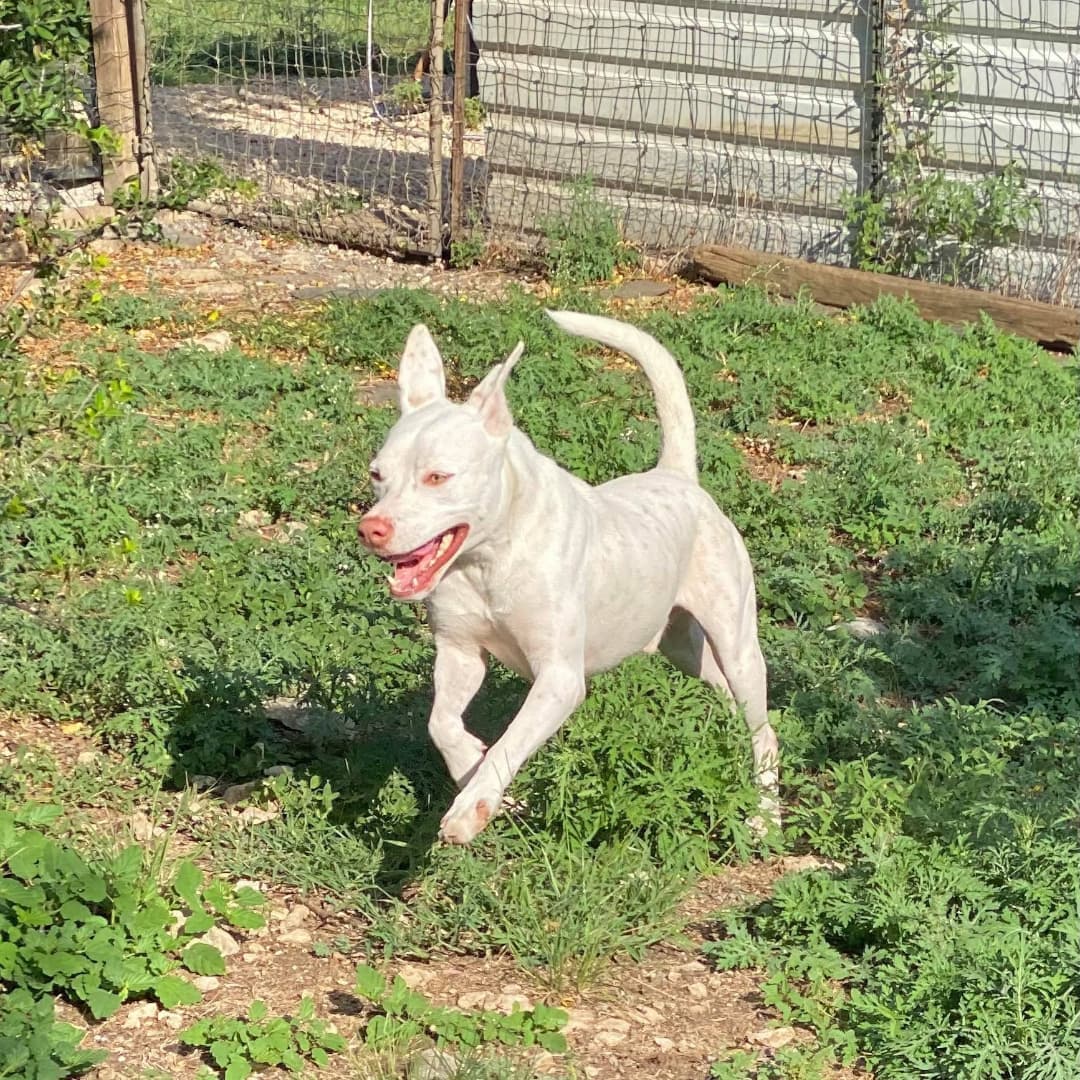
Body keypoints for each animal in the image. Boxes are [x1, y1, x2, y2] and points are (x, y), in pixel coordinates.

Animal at [358, 311, 781, 842]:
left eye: (438, 477)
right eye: (378, 474)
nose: (370, 529)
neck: (489, 562)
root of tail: (677, 476)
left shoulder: (558, 679)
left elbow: (511, 740)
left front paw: (473, 805)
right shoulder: (459, 655)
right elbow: (442, 724)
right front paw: (475, 771)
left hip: (737, 644)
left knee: (764, 729)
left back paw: (765, 814)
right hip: (683, 649)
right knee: (731, 701)